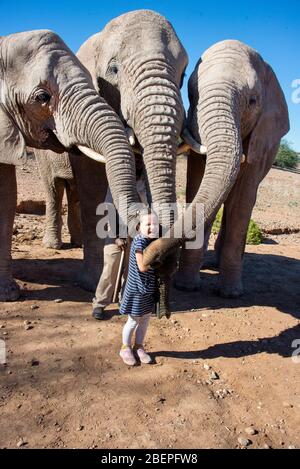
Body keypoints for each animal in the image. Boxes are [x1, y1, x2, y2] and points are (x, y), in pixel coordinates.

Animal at [0, 29, 142, 302]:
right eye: (42, 97)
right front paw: (9, 296)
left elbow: (6, 198)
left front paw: (8, 294)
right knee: (54, 189)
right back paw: (54, 246)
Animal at [34, 10, 188, 300]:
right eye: (113, 70)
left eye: (184, 75)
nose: (166, 264)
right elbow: (92, 184)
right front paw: (90, 285)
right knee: (54, 187)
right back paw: (55, 246)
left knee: (72, 191)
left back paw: (77, 242)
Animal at [144, 39, 290, 296]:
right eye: (192, 94)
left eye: (253, 101)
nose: (146, 259)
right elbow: (196, 187)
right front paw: (186, 286)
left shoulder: (262, 138)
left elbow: (241, 202)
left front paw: (230, 294)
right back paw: (207, 264)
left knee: (238, 203)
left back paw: (218, 266)